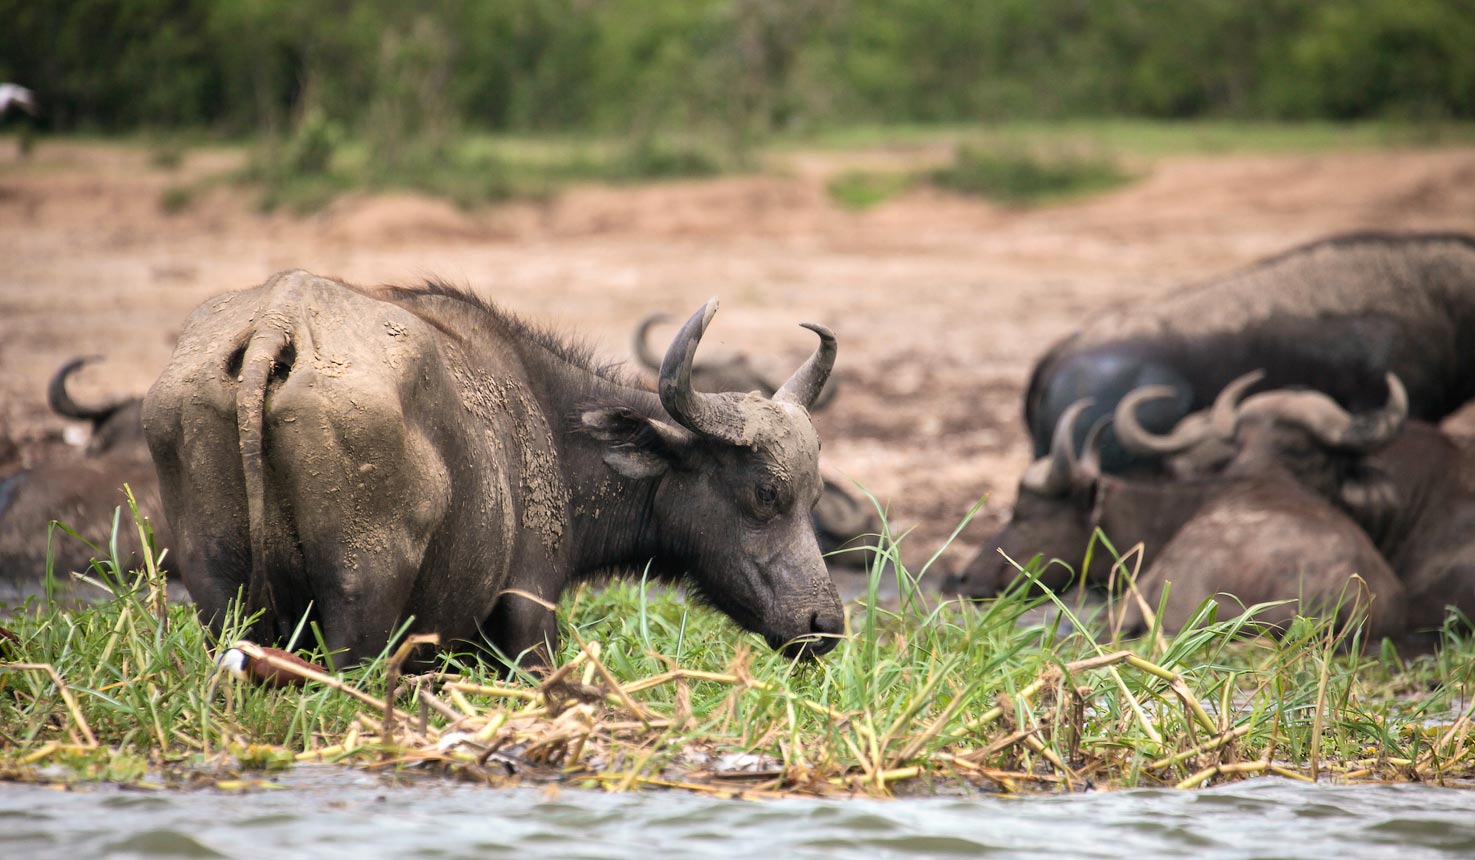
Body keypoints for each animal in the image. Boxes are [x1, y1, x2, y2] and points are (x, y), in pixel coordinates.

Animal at [146, 268, 855, 666]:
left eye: (815, 498)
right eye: (765, 493)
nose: (824, 624)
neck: (555, 422)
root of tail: (277, 324)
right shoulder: (528, 613)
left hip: (219, 593)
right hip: (360, 600)